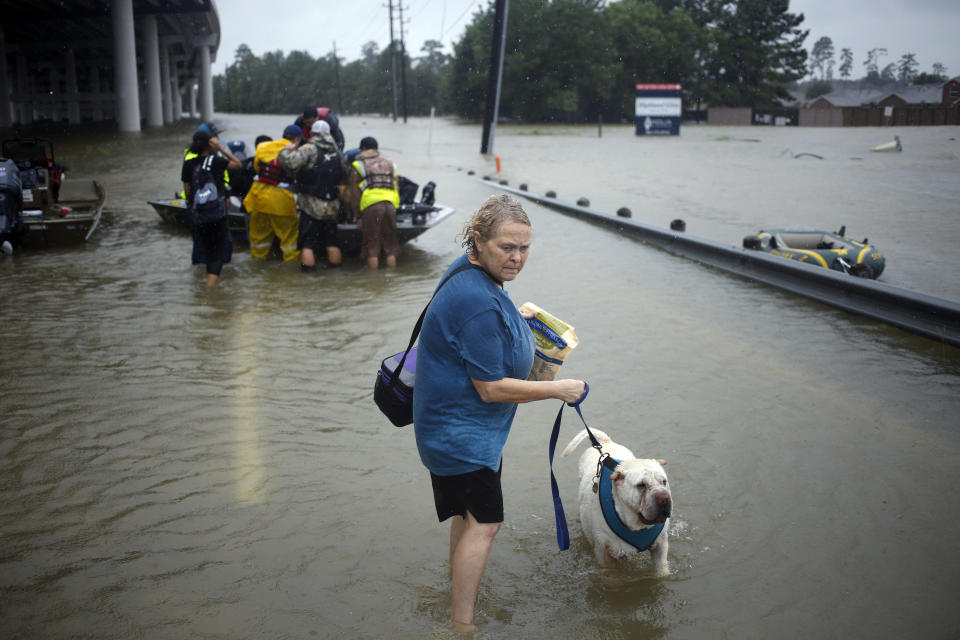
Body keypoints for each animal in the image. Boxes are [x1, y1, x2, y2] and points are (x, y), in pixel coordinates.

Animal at [560, 428, 672, 572]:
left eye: (664, 482)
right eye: (641, 485)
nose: (664, 499)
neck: (636, 524)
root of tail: (604, 442)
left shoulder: (661, 546)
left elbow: (661, 570)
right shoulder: (604, 553)